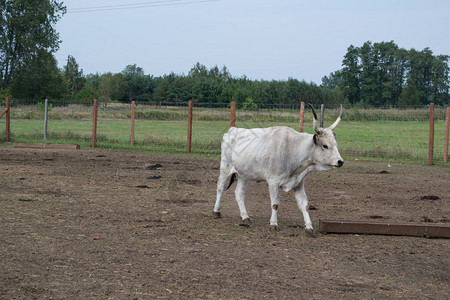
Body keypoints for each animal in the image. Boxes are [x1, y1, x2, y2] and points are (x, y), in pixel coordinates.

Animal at [213, 104, 342, 233]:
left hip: (244, 174)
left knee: (239, 193)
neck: (293, 149)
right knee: (220, 188)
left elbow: (304, 205)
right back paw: (216, 211)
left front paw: (309, 226)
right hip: (225, 168)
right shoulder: (273, 181)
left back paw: (245, 217)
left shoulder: (298, 183)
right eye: (325, 145)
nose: (340, 161)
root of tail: (232, 130)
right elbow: (275, 204)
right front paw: (273, 223)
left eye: (336, 144)